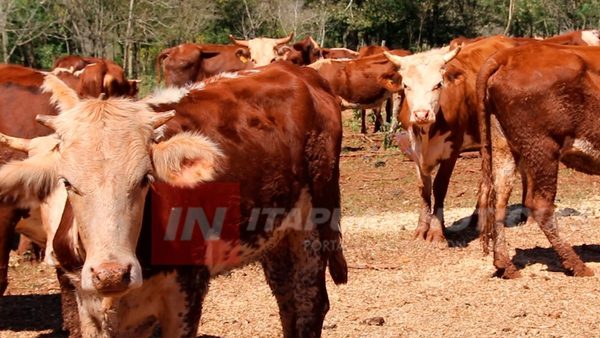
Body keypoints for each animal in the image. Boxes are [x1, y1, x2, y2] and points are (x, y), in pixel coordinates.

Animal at [478, 43, 600, 278]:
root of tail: (509, 54)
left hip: (503, 145)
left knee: (499, 199)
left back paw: (505, 265)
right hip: (543, 148)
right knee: (541, 205)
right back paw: (577, 266)